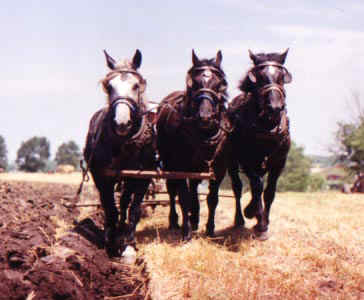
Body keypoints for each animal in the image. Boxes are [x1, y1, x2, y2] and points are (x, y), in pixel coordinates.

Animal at [83, 49, 156, 255]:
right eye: (109, 87)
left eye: (136, 85)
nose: (121, 123)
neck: (124, 143)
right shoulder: (101, 176)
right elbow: (110, 208)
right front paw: (111, 240)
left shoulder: (142, 177)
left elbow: (134, 209)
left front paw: (128, 244)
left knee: (124, 201)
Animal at [156, 49, 230, 241]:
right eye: (194, 84)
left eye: (219, 84)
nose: (205, 117)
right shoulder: (180, 167)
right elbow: (183, 197)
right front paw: (186, 231)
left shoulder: (218, 169)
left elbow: (212, 199)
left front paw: (210, 229)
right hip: (169, 163)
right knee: (172, 191)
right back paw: (175, 221)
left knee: (195, 187)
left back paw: (195, 218)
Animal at [209, 49, 292, 241]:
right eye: (259, 78)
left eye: (281, 77)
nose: (274, 107)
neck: (266, 128)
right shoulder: (247, 161)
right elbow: (257, 186)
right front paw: (255, 217)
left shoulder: (279, 163)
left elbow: (269, 192)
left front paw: (264, 223)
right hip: (231, 162)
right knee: (238, 188)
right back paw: (240, 218)